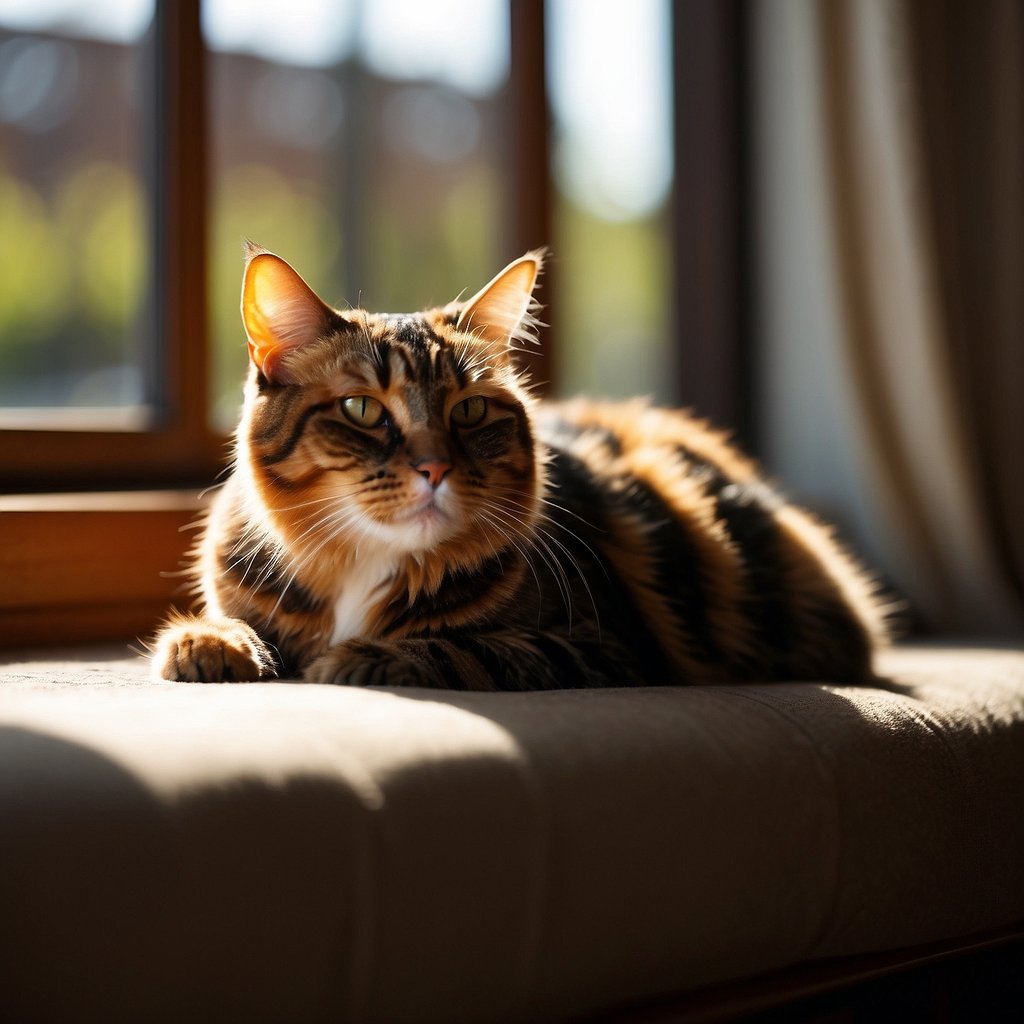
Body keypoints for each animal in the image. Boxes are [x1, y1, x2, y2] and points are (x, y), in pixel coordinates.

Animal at [149, 243, 888, 688]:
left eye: (470, 411)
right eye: (362, 408)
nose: (434, 469)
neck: (366, 567)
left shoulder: (604, 649)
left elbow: (458, 648)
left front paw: (353, 659)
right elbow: (233, 620)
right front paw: (209, 643)